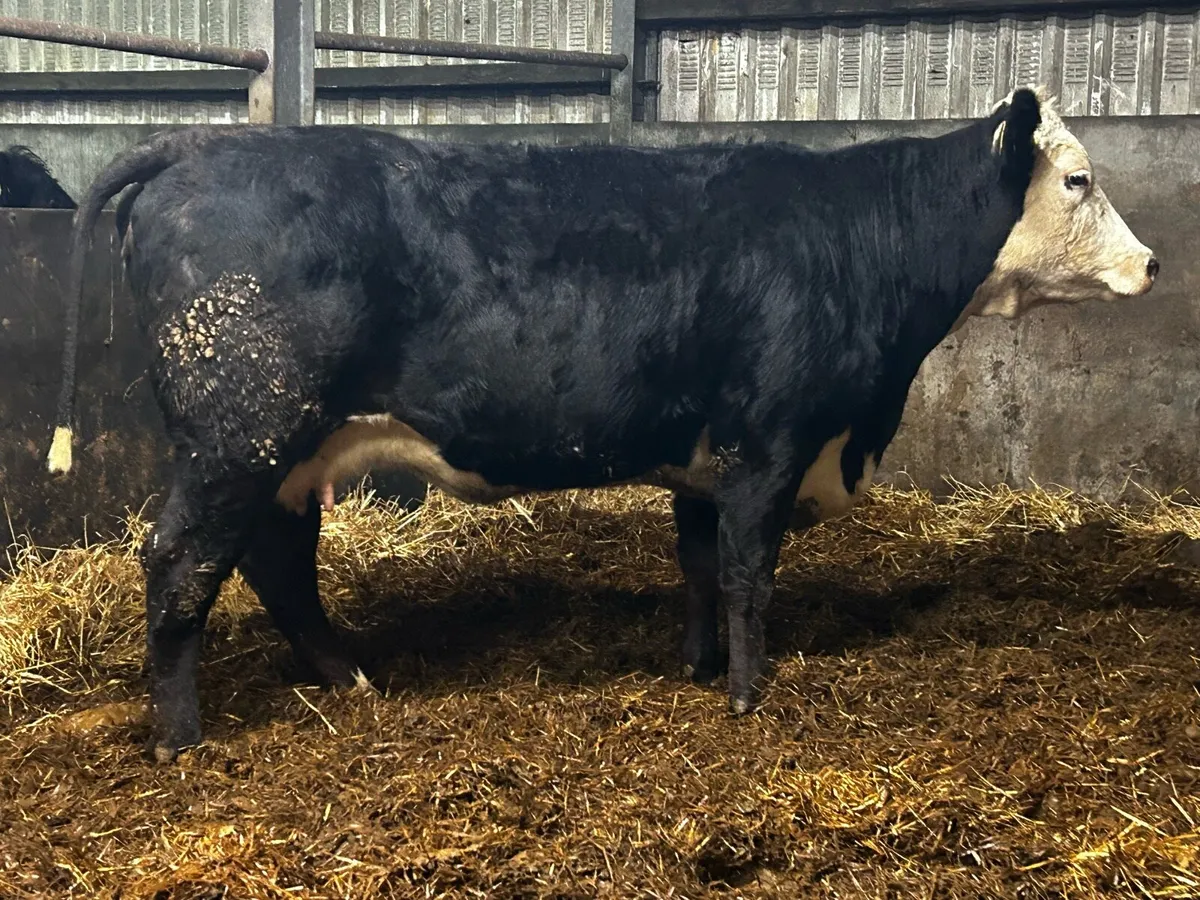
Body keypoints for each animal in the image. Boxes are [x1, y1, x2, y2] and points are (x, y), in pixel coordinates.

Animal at [46, 86, 1157, 762]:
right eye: (1078, 179)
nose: (1150, 265)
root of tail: (200, 144)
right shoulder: (771, 438)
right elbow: (749, 574)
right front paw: (748, 694)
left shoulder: (709, 458)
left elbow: (702, 567)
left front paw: (699, 667)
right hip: (238, 433)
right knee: (181, 561)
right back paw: (181, 734)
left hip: (283, 449)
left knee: (274, 560)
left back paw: (350, 675)